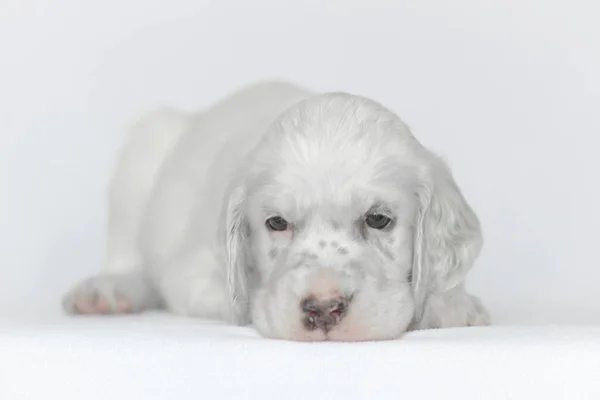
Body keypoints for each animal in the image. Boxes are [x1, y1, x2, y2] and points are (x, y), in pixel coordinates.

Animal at [63, 80, 490, 340]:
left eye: (378, 219)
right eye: (277, 223)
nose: (323, 309)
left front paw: (452, 303)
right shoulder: (191, 273)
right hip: (143, 150)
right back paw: (108, 288)